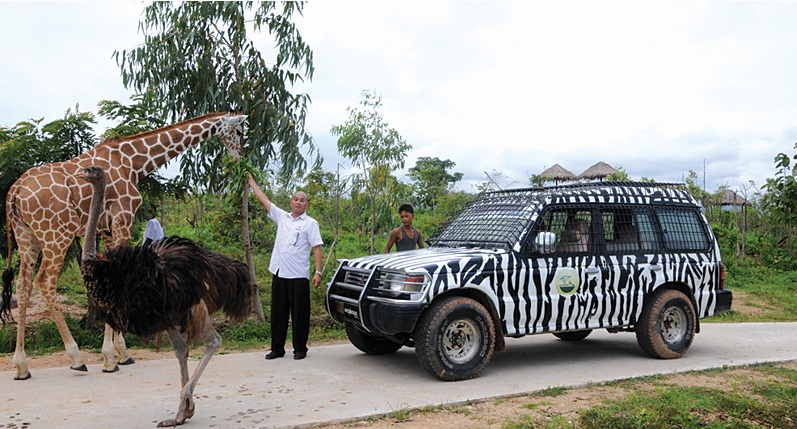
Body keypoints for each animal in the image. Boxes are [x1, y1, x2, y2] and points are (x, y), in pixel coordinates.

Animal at [1, 112, 246, 380]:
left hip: (27, 237)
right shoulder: (123, 221)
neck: (135, 162)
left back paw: (21, 366)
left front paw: (116, 354)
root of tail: (14, 191)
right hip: (56, 234)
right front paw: (114, 357)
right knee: (45, 281)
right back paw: (76, 359)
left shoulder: (107, 230)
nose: (238, 156)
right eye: (239, 131)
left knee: (22, 285)